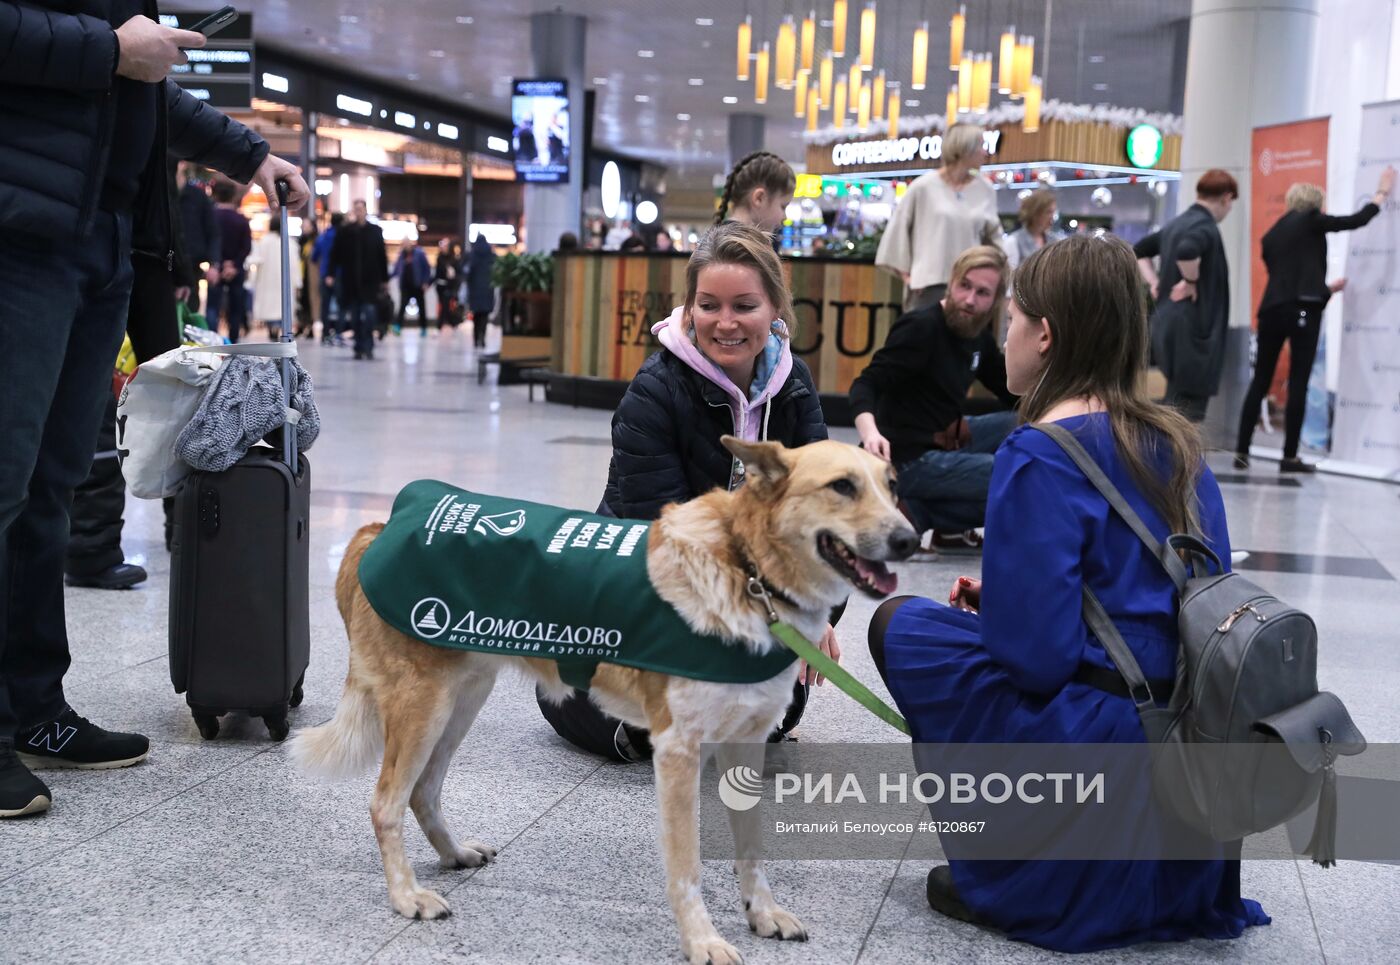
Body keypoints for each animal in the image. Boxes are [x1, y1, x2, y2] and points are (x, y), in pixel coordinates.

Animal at [289, 439, 918, 963]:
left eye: (892, 484)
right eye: (842, 486)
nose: (910, 540)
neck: (747, 568)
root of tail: (377, 525)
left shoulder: (745, 746)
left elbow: (752, 849)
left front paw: (760, 913)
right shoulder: (678, 751)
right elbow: (686, 866)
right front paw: (701, 940)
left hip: (462, 699)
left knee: (422, 791)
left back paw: (452, 855)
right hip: (423, 706)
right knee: (386, 802)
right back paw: (405, 897)